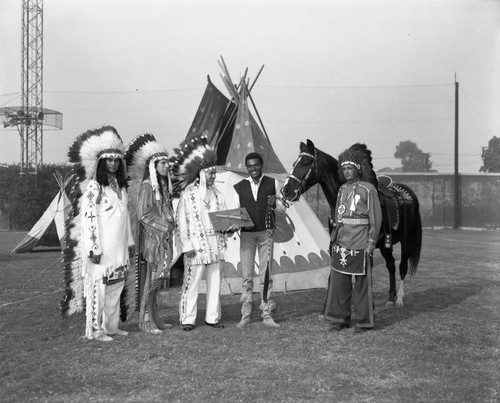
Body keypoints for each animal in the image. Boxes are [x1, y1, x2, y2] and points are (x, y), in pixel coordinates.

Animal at [282, 140, 422, 308]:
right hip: (385, 245)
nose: (286, 190)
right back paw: (390, 298)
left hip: (406, 240)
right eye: (294, 163)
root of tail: (409, 193)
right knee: (391, 264)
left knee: (402, 266)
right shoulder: (335, 244)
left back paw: (399, 298)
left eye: (305, 162)